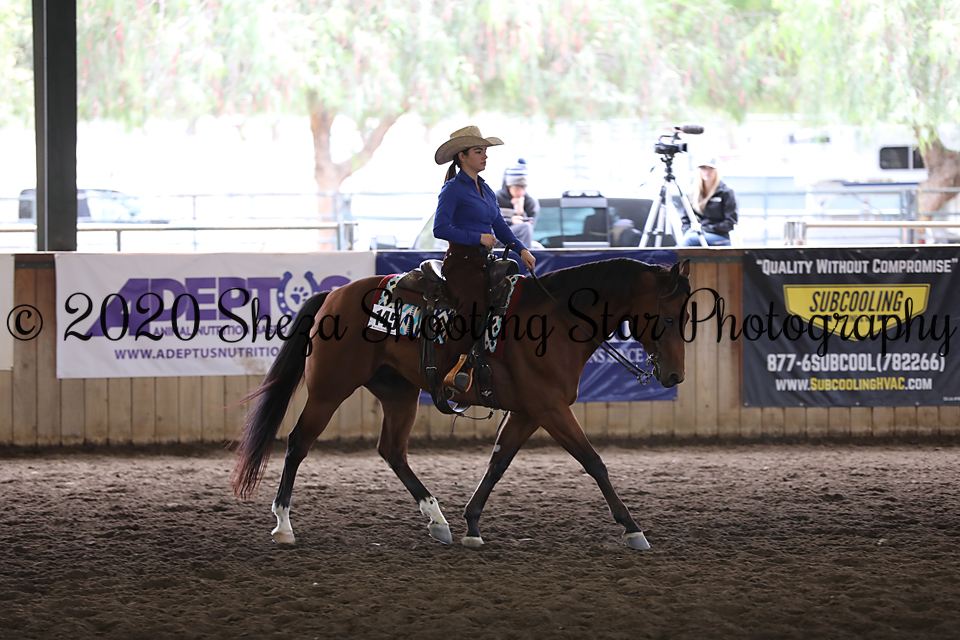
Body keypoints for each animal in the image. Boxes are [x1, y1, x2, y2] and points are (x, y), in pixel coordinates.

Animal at [231, 257, 690, 550]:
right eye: (669, 317)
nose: (674, 377)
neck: (558, 321)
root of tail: (334, 293)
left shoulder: (529, 411)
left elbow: (499, 461)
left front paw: (471, 523)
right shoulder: (550, 408)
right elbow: (594, 462)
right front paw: (632, 528)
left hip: (399, 393)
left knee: (392, 450)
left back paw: (438, 520)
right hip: (330, 389)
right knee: (297, 444)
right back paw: (284, 525)